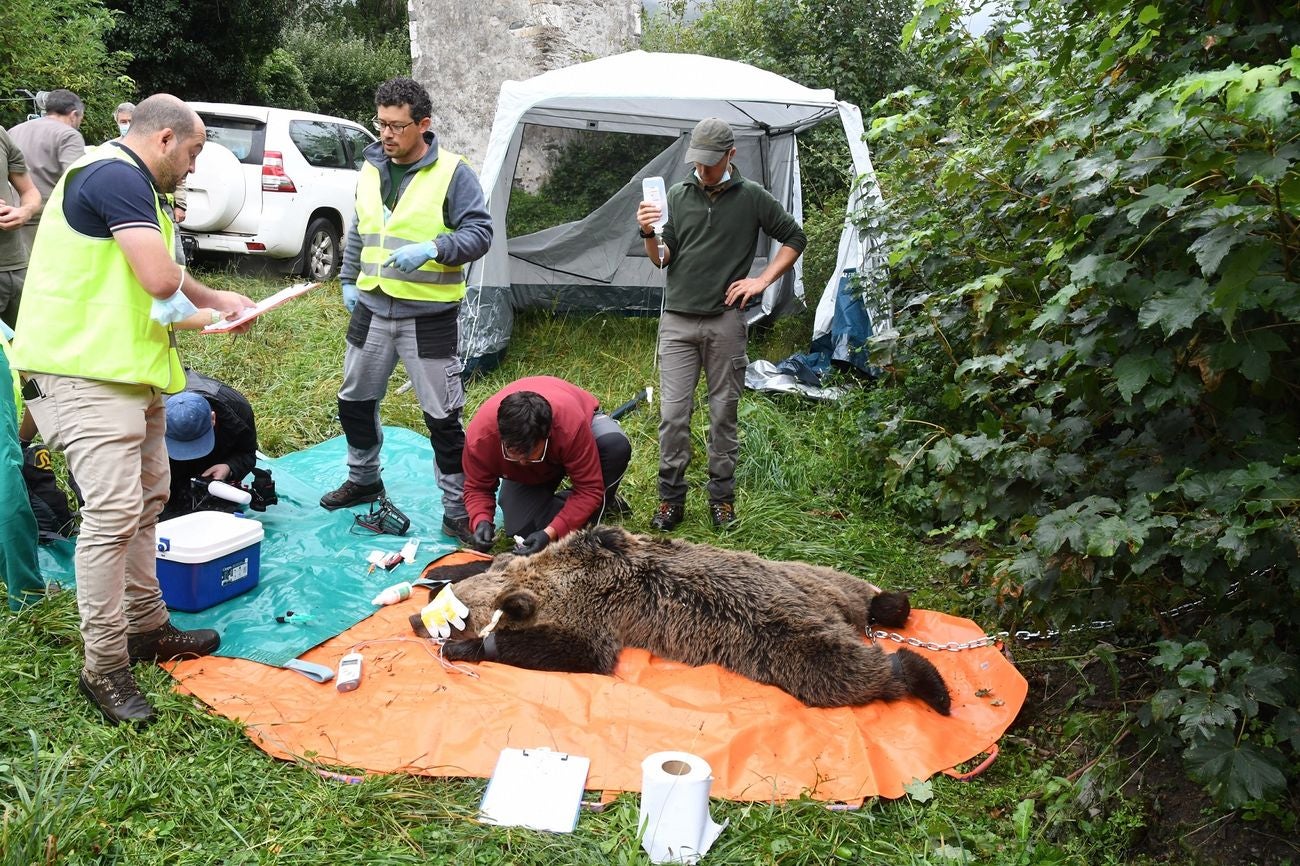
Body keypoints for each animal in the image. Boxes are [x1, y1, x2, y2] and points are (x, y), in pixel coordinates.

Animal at [421, 522, 951, 712]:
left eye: (461, 617)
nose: (413, 623)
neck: (562, 573)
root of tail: (839, 616)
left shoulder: (593, 612)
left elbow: (582, 654)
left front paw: (466, 646)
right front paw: (444, 570)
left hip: (787, 638)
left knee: (842, 671)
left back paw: (928, 682)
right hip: (811, 577)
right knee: (853, 586)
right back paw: (891, 604)